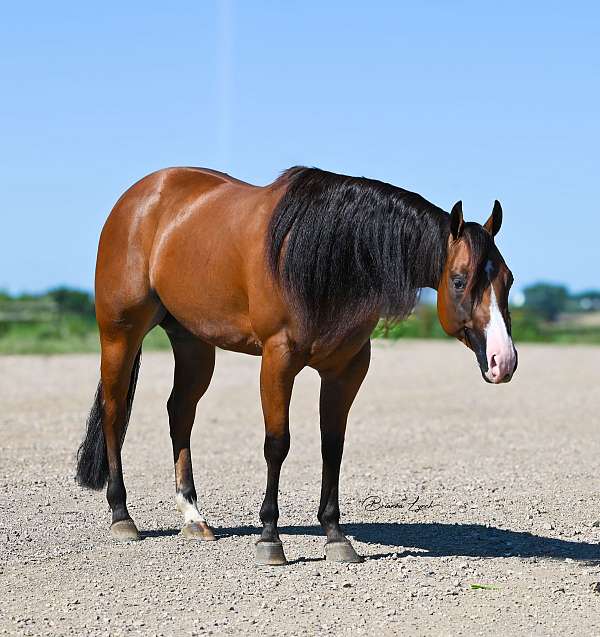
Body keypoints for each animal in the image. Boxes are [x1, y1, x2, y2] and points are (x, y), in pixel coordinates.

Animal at [74, 166, 516, 564]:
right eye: (459, 280)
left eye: (508, 280)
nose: (503, 360)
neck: (327, 258)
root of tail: (140, 196)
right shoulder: (278, 358)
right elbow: (277, 444)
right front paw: (270, 538)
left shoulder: (347, 369)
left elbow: (332, 446)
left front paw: (336, 536)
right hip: (120, 334)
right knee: (114, 412)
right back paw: (122, 516)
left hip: (193, 342)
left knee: (180, 412)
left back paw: (193, 517)